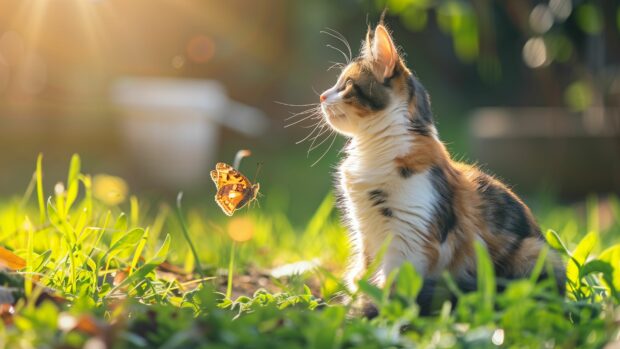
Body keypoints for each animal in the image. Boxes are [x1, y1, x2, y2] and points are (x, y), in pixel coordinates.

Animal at [320, 23, 568, 314]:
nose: (322, 96)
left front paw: (375, 313)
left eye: (346, 85)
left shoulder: (408, 238)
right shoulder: (366, 236)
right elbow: (362, 275)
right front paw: (353, 305)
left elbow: (393, 288)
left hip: (534, 254)